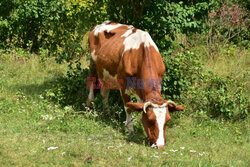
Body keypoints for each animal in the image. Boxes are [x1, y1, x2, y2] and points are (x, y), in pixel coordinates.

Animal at [87, 20, 185, 149]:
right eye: (150, 120)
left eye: (167, 120)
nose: (160, 145)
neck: (142, 53)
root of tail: (104, 23)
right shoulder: (123, 84)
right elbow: (128, 107)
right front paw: (130, 128)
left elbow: (139, 105)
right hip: (94, 64)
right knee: (95, 86)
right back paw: (93, 106)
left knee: (104, 93)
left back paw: (106, 113)